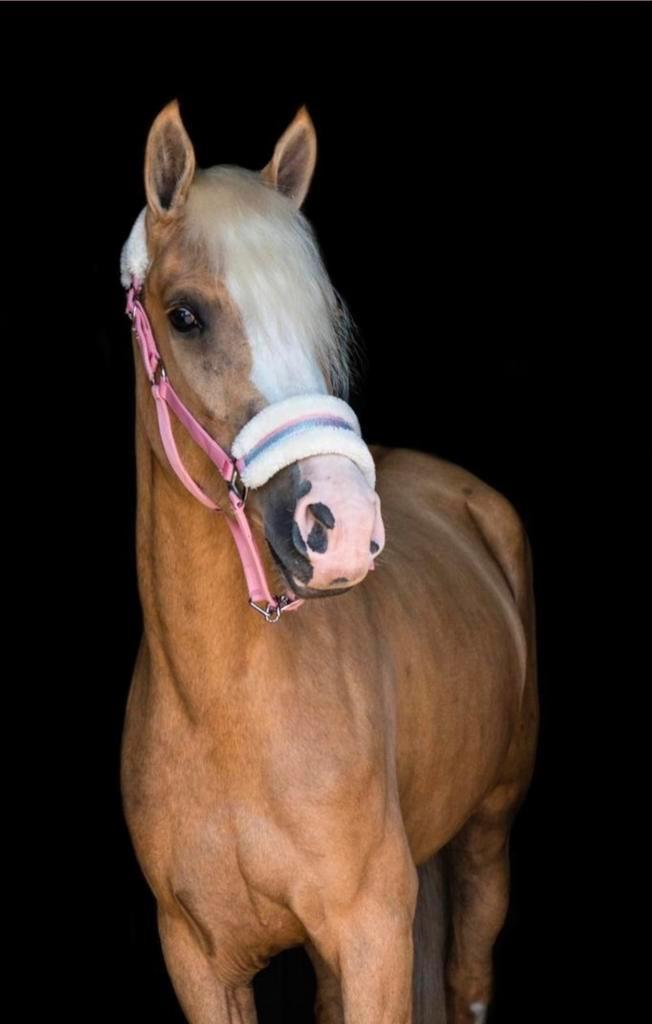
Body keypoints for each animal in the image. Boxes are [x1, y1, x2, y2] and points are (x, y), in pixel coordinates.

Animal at [120, 100, 539, 1024]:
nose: (340, 526)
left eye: (323, 317)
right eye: (186, 314)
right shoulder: (198, 961)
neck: (226, 713)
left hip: (488, 834)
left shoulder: (370, 932)